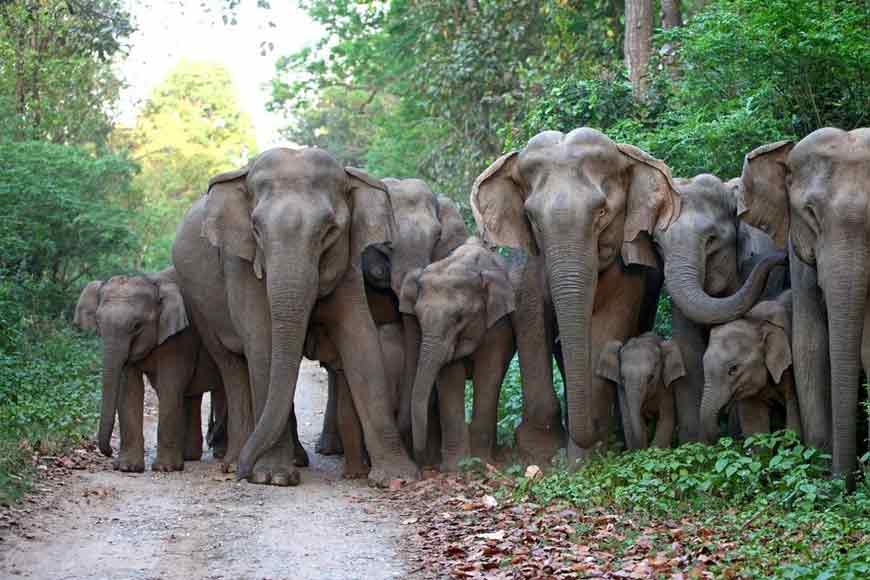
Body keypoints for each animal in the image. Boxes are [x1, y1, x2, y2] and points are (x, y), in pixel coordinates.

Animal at [74, 269, 223, 472]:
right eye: (98, 321)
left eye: (137, 326)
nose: (110, 453)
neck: (153, 282)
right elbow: (129, 387)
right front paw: (128, 468)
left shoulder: (180, 337)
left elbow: (170, 384)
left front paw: (165, 468)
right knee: (191, 396)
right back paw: (190, 457)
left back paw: (220, 454)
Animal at [172, 147, 417, 486]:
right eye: (256, 229)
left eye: (329, 231)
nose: (244, 474)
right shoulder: (240, 263)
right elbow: (262, 342)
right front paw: (272, 477)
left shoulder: (348, 264)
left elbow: (361, 339)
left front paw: (398, 478)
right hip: (198, 303)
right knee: (232, 366)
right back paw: (236, 462)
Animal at [400, 238, 516, 470]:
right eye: (417, 317)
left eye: (459, 318)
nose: (424, 465)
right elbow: (449, 377)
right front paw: (456, 467)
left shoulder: (498, 324)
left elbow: (488, 373)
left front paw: (480, 462)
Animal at [471, 128, 679, 464]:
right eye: (531, 218)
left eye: (603, 212)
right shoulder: (529, 263)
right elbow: (531, 319)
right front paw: (539, 451)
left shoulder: (628, 270)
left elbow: (607, 325)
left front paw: (584, 456)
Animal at [652, 174, 788, 442]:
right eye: (659, 246)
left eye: (712, 239)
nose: (784, 257)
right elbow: (689, 350)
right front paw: (695, 443)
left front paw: (735, 437)